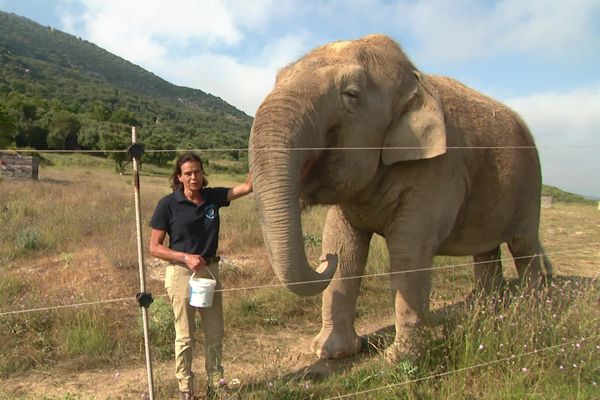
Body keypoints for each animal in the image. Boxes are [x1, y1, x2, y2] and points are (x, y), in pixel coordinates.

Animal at [247, 33, 552, 360]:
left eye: (351, 95)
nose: (324, 261)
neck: (416, 80)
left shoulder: (437, 168)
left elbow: (409, 249)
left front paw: (398, 359)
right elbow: (344, 243)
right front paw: (329, 352)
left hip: (531, 183)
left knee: (523, 247)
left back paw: (532, 311)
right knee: (486, 251)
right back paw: (484, 310)